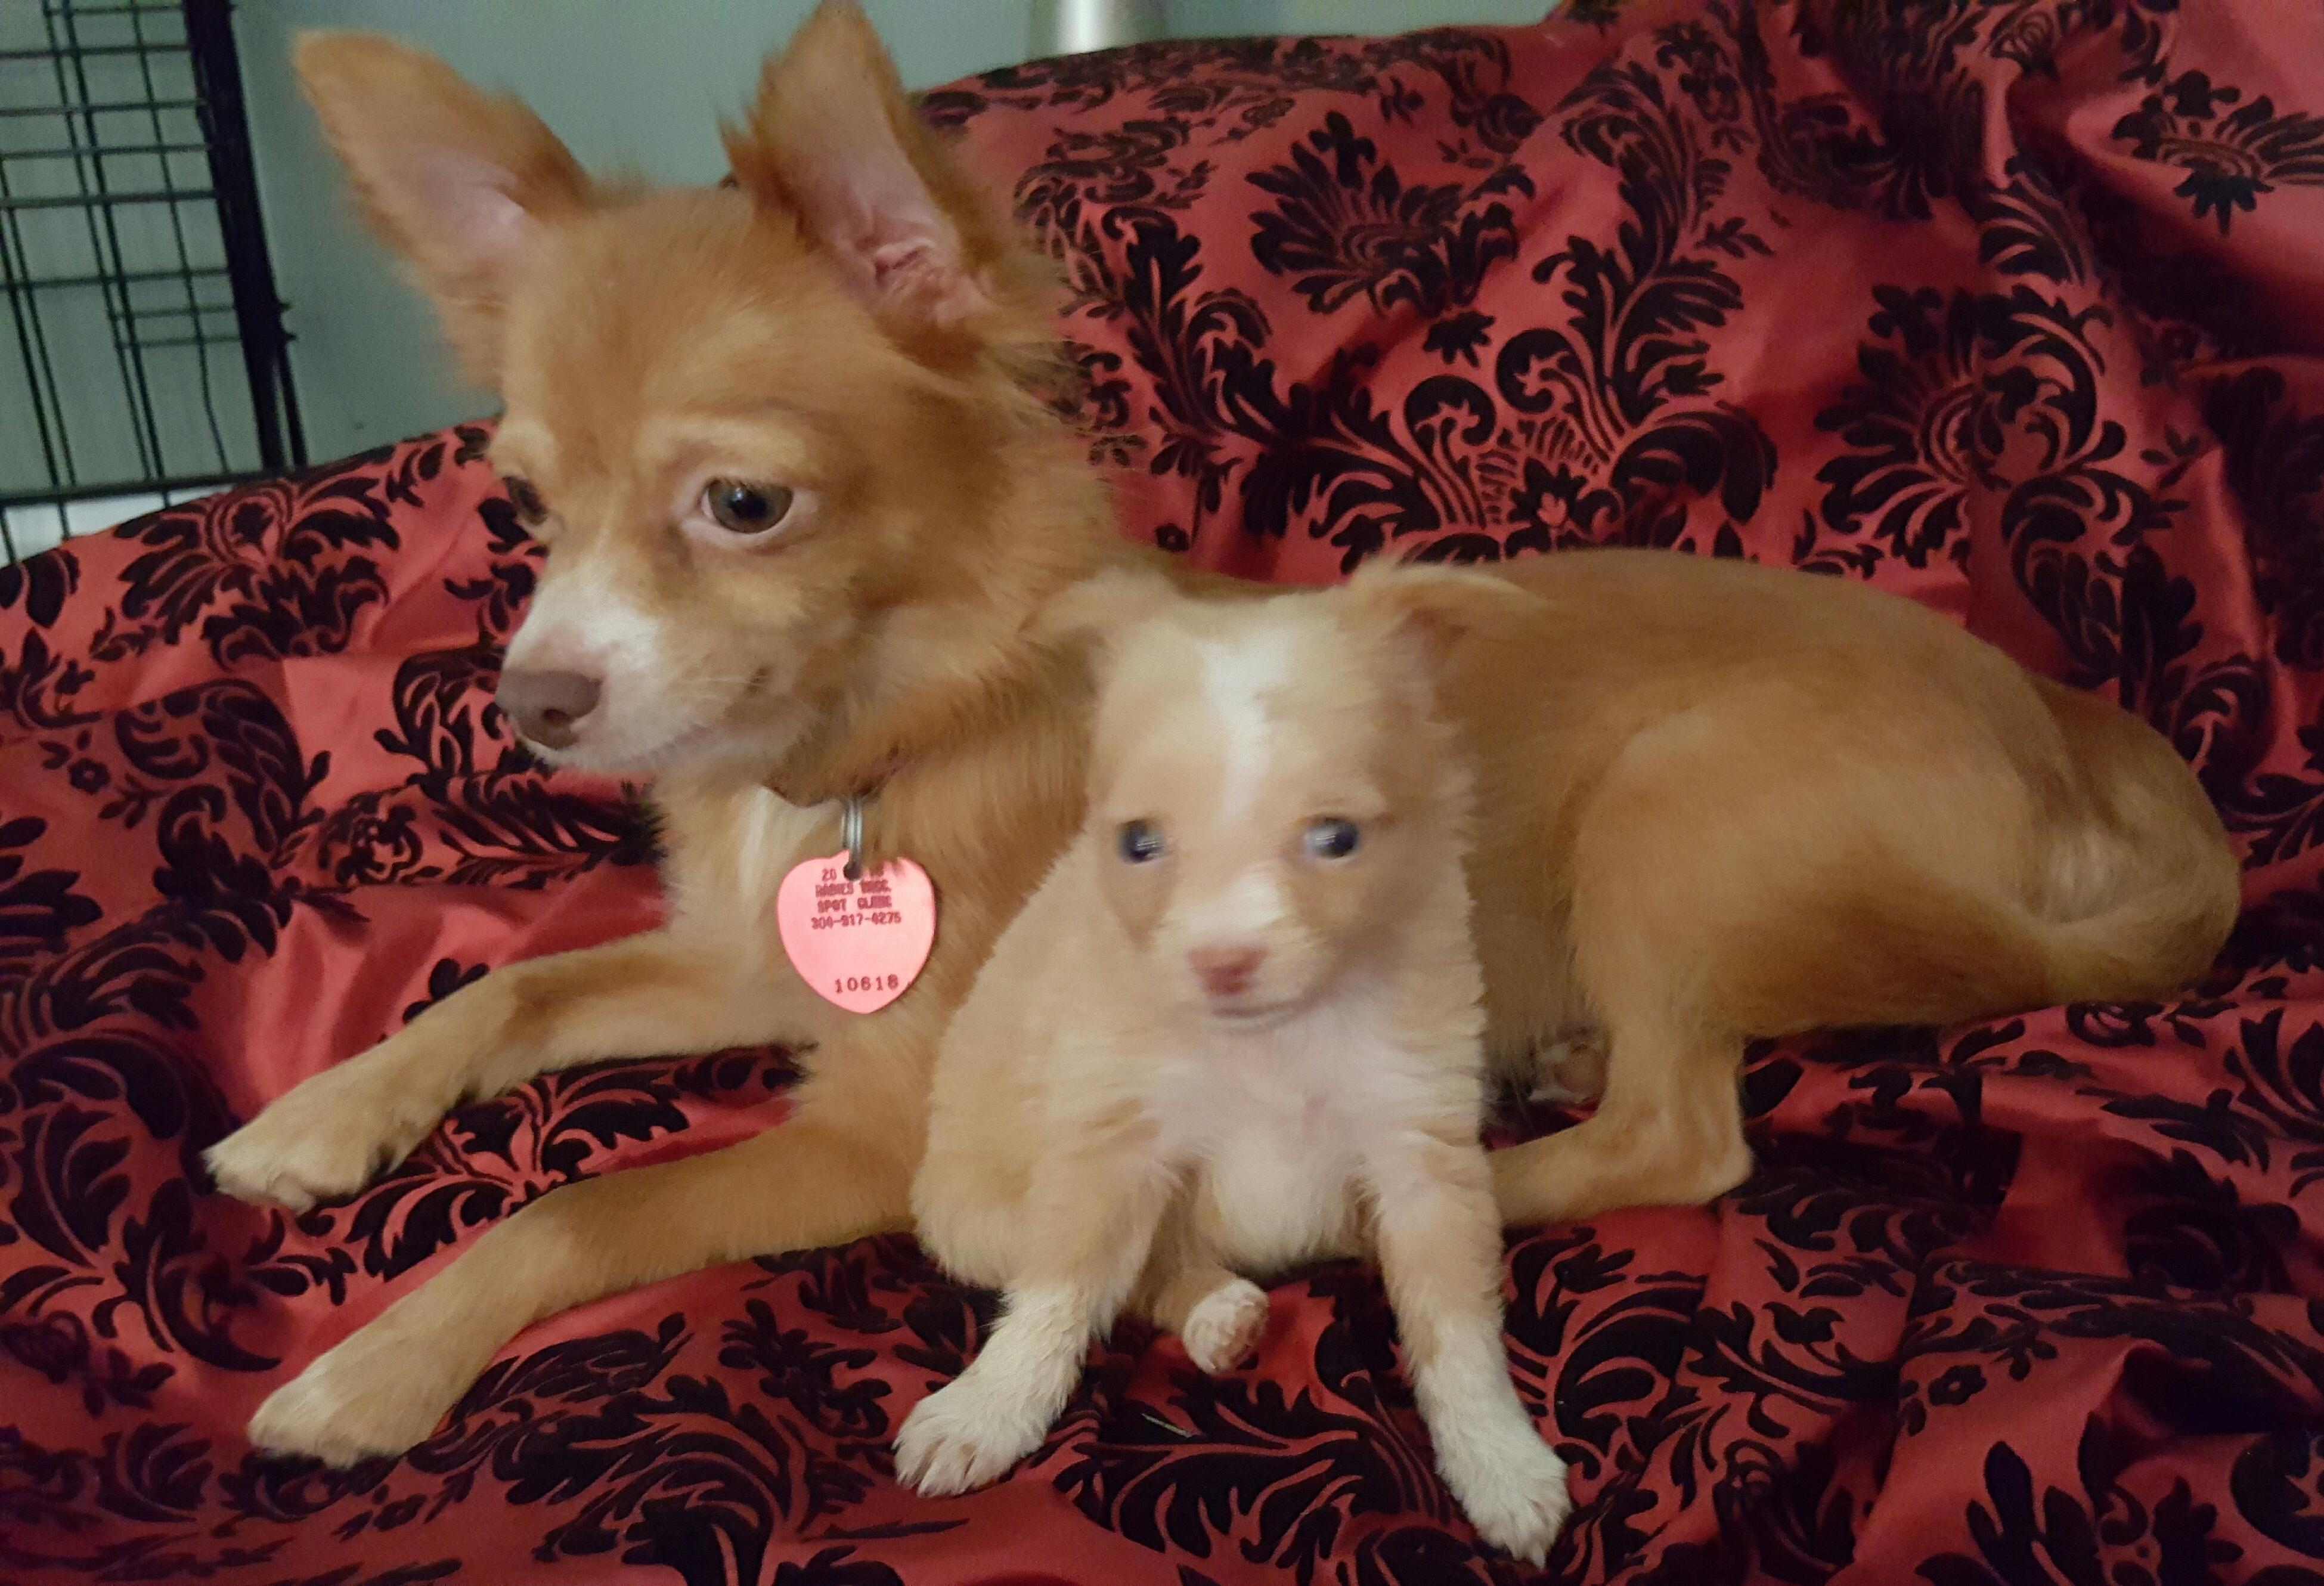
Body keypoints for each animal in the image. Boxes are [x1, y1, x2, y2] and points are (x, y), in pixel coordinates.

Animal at [897, 565, 1571, 1553]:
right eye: (1138, 843)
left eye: (1335, 838)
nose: (1223, 961)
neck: (1272, 1042)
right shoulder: (1112, 1148)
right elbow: (1060, 1293)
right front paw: (986, 1410)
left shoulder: (1422, 1156)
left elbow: (1457, 1332)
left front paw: (1499, 1462)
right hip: (975, 1217)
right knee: (1124, 1276)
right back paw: (1216, 1314)